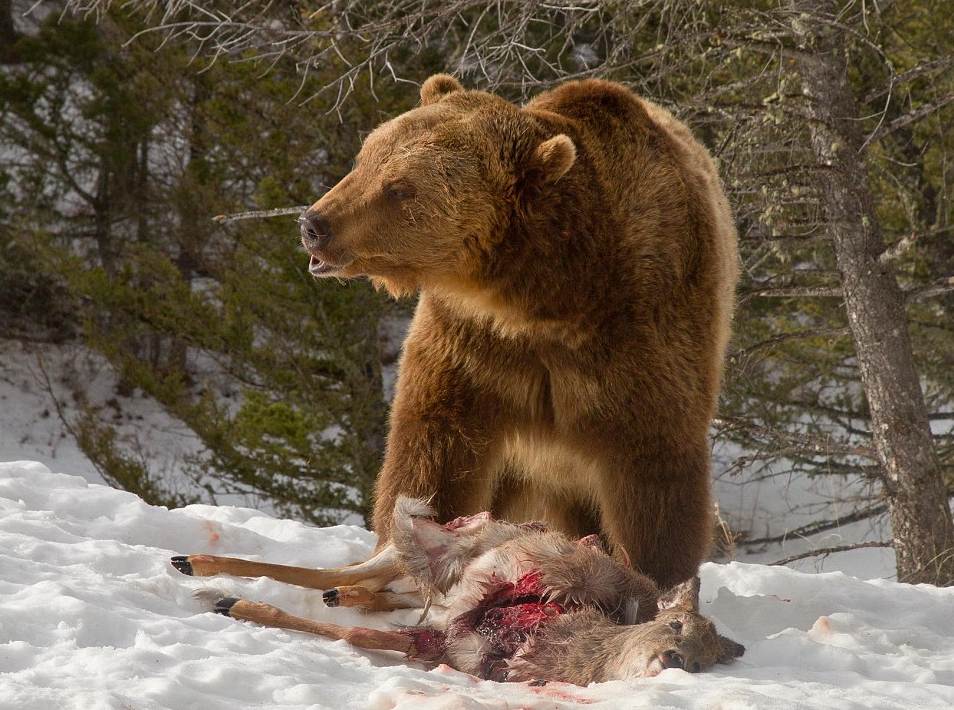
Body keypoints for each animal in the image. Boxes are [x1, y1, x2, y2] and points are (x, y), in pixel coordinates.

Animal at [298, 75, 736, 592]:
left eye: (400, 189)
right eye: (364, 159)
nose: (314, 224)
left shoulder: (640, 335)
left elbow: (655, 467)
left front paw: (659, 578)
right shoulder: (470, 345)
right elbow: (433, 447)